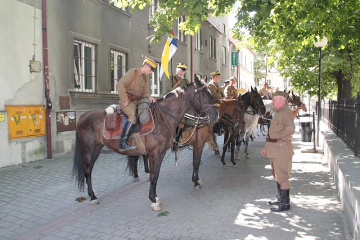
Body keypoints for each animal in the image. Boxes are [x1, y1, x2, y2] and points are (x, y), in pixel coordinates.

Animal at [72, 75, 218, 210]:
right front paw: (153, 200)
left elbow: (157, 174)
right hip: (89, 149)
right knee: (87, 170)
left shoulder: (161, 153)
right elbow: (155, 175)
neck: (163, 118)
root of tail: (83, 116)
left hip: (97, 148)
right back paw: (92, 196)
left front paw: (156, 197)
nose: (215, 115)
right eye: (204, 94)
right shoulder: (157, 152)